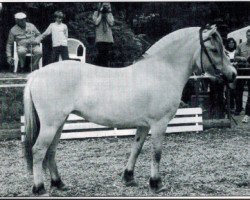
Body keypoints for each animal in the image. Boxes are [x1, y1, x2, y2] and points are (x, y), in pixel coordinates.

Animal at [23, 25, 236, 196]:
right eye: (214, 50)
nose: (233, 74)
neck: (160, 71)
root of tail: (36, 74)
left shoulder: (144, 125)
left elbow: (136, 148)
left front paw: (128, 177)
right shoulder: (159, 124)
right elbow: (156, 153)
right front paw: (156, 183)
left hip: (59, 123)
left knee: (51, 151)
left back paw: (59, 184)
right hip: (51, 124)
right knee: (39, 150)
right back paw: (39, 188)